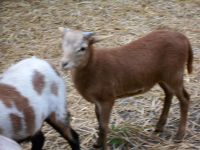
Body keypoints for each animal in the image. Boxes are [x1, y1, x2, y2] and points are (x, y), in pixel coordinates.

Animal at [59, 27, 192, 149]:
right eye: (63, 44)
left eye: (83, 48)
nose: (64, 63)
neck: (94, 66)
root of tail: (184, 37)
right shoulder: (97, 101)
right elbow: (99, 122)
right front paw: (97, 143)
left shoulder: (107, 98)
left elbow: (104, 126)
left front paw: (103, 146)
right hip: (161, 77)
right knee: (169, 93)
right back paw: (159, 126)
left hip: (175, 74)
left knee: (185, 98)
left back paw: (179, 135)